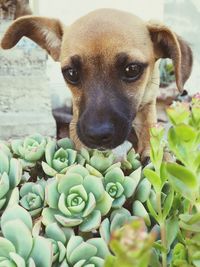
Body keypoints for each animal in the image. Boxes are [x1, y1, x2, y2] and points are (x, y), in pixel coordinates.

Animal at [0, 8, 193, 161]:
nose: (98, 135)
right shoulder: (77, 121)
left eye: (132, 69)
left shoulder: (148, 104)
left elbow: (149, 132)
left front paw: (153, 154)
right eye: (71, 73)